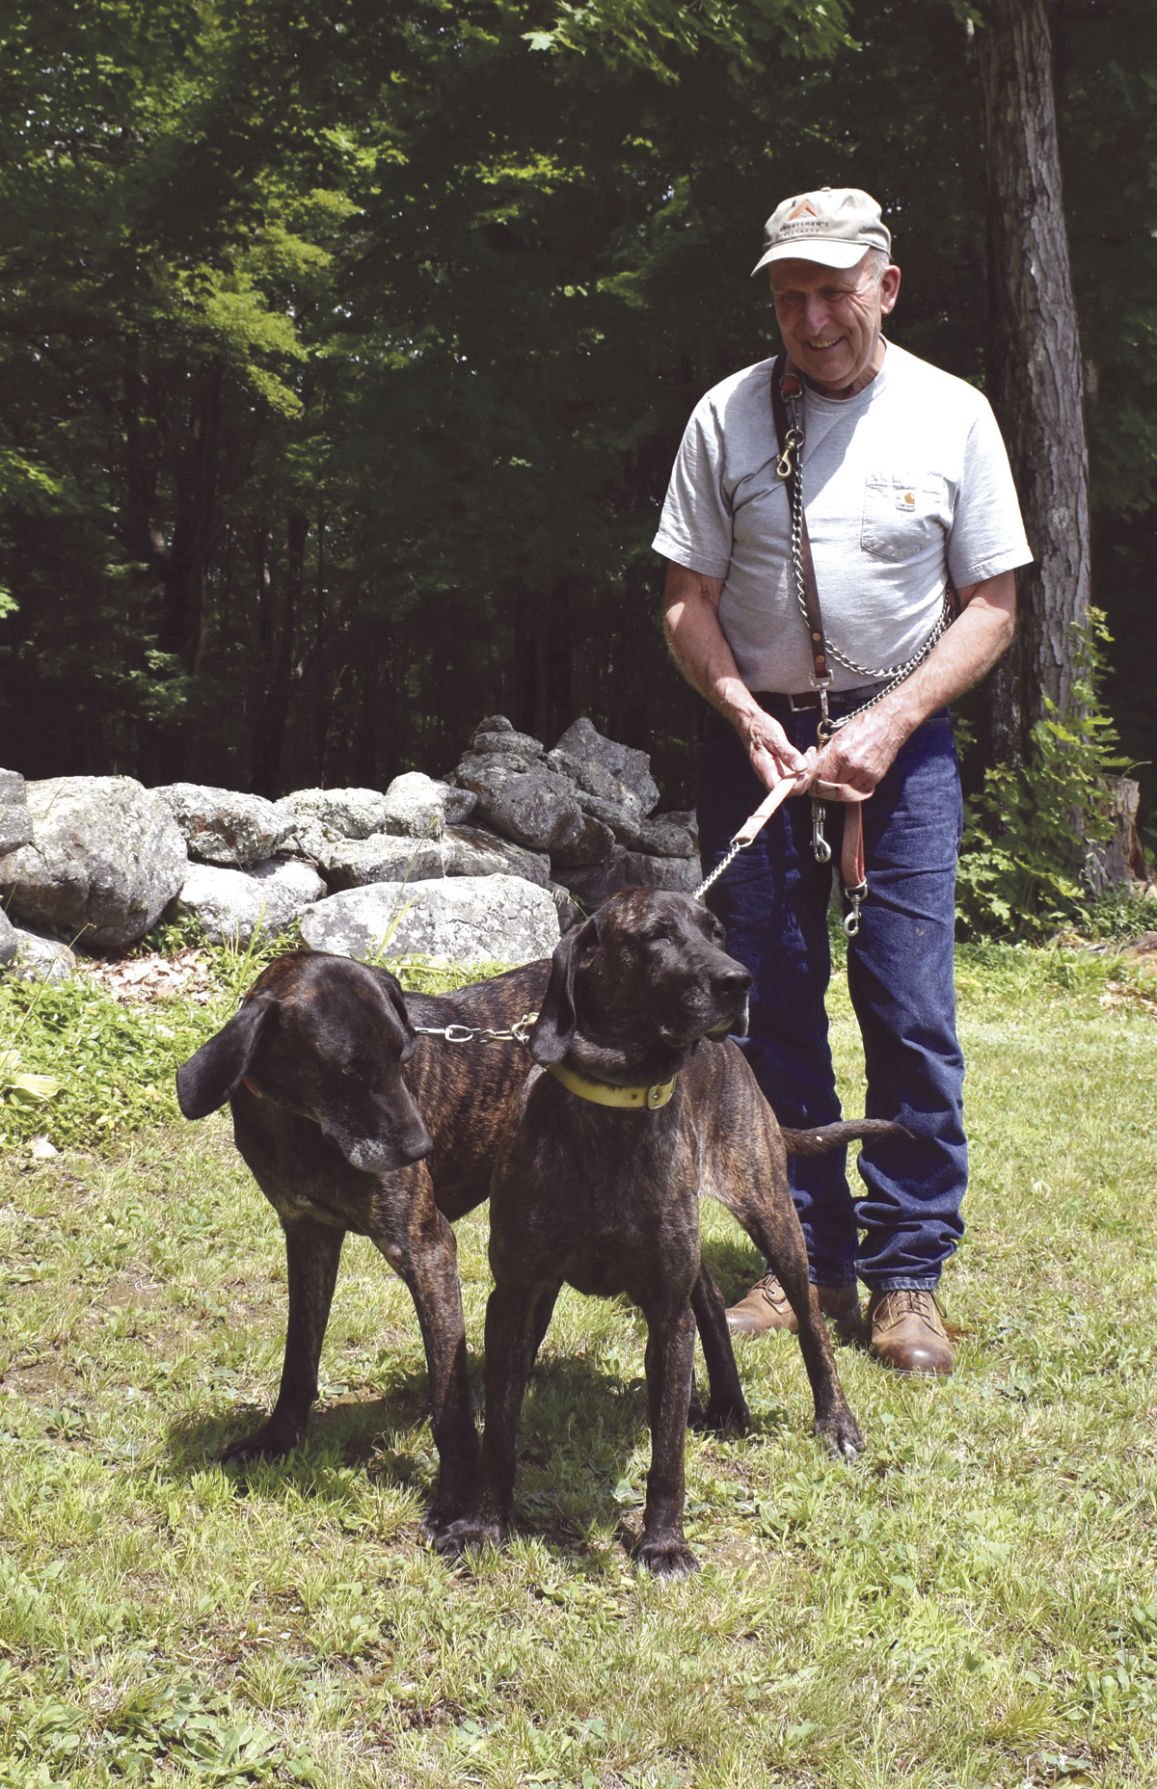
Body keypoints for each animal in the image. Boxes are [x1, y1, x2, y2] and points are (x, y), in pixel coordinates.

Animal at [175, 951, 547, 1524]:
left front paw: (457, 1495)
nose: (420, 1150)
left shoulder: (426, 1249)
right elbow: (299, 1355)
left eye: (404, 1054)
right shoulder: (308, 1234)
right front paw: (278, 1440)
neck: (301, 1125)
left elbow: (448, 1393)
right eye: (349, 1070)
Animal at [436, 887, 879, 1574]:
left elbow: (667, 1451)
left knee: (813, 1326)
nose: (738, 981)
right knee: (715, 1306)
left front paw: (664, 1543)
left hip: (772, 1217)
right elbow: (500, 1430)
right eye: (656, 935)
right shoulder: (516, 1295)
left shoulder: (666, 1315)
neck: (612, 1104)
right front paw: (483, 1524)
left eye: (716, 931)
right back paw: (728, 1404)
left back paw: (835, 1424)